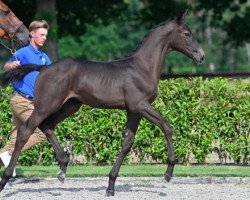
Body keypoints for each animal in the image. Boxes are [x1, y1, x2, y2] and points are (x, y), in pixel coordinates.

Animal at [0, 12, 203, 195]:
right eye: (187, 33)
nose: (201, 55)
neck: (142, 68)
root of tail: (43, 67)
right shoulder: (140, 105)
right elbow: (167, 127)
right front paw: (168, 172)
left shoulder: (133, 111)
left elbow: (127, 143)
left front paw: (111, 186)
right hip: (46, 106)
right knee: (25, 131)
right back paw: (6, 179)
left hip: (70, 106)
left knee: (47, 125)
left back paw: (63, 168)